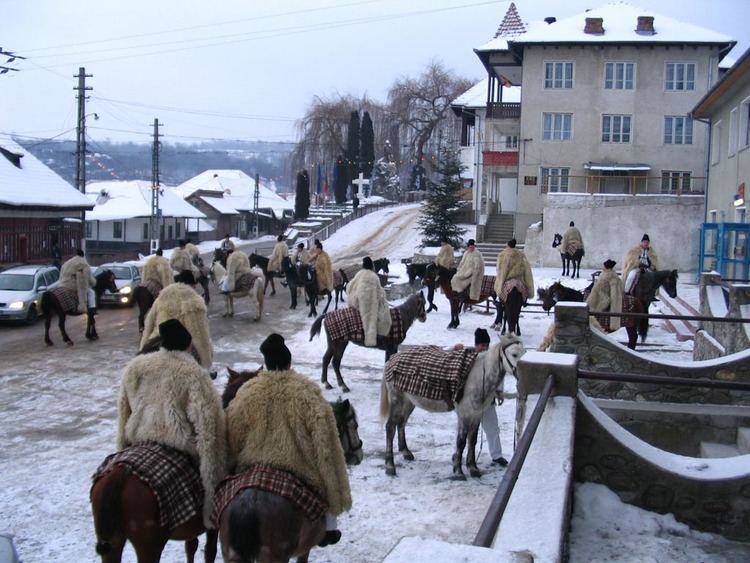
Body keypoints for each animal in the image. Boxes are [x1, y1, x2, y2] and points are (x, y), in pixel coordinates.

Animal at [216, 370, 366, 563]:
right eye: (354, 425)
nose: (359, 453)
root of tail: (247, 507)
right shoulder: (306, 547)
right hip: (275, 556)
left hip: (233, 555)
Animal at [378, 334, 524, 480]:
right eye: (514, 354)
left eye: (524, 353)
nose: (523, 375)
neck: (478, 377)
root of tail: (391, 359)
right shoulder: (464, 415)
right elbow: (461, 442)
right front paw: (458, 471)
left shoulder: (476, 414)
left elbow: (473, 440)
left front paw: (473, 468)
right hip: (397, 400)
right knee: (390, 427)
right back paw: (390, 466)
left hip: (409, 402)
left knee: (401, 423)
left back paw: (406, 452)